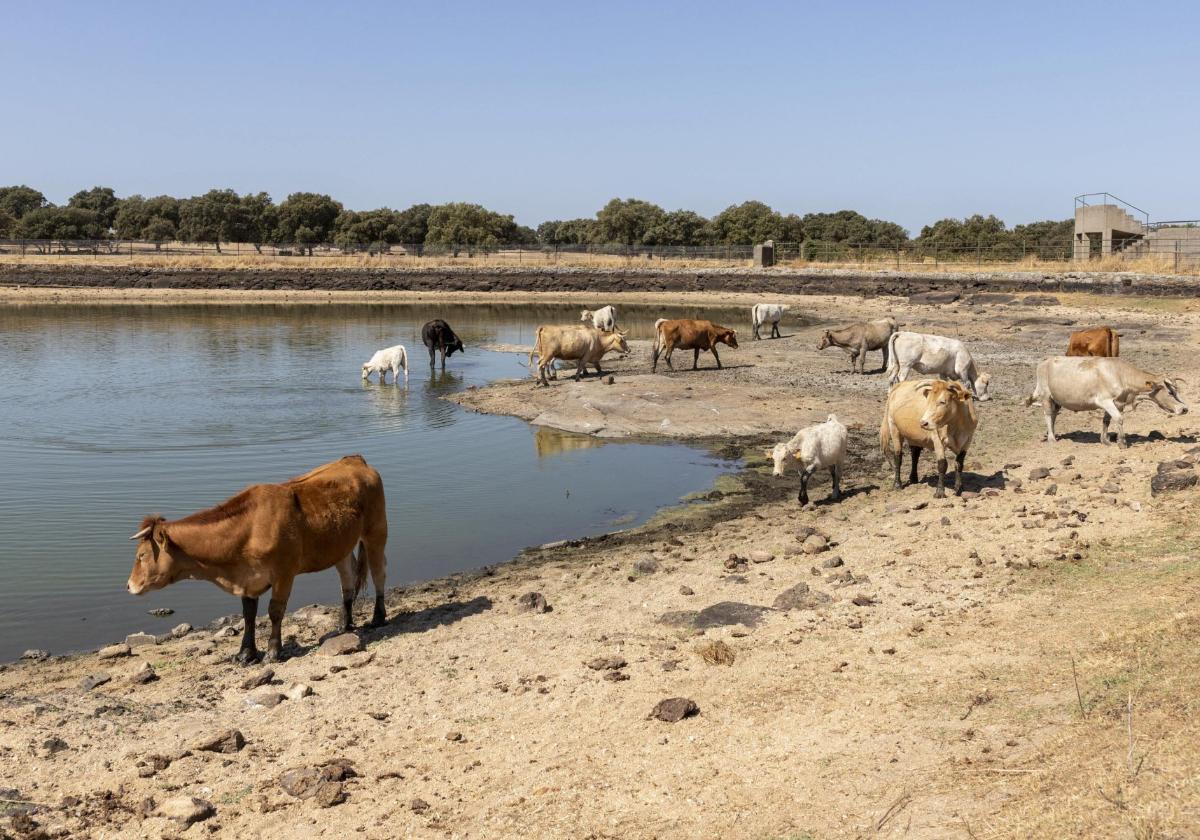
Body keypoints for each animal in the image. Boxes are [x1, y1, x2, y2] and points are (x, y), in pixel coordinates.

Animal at [126, 456, 388, 667]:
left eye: (141, 555)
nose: (129, 585)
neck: (248, 529)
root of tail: (353, 459)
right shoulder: (248, 578)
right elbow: (248, 615)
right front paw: (245, 654)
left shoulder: (284, 573)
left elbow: (275, 611)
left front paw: (273, 651)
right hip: (340, 546)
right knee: (348, 580)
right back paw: (344, 625)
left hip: (376, 531)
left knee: (378, 573)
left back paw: (378, 617)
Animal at [1027, 355, 1185, 446]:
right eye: (1170, 392)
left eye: (1176, 390)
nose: (1185, 409)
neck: (1120, 374)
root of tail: (1044, 362)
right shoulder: (1105, 400)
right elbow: (1119, 419)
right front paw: (1122, 442)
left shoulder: (1118, 402)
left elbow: (1107, 420)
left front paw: (1105, 440)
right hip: (1046, 395)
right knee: (1048, 415)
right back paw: (1051, 438)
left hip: (1057, 400)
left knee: (1054, 415)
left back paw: (1053, 434)